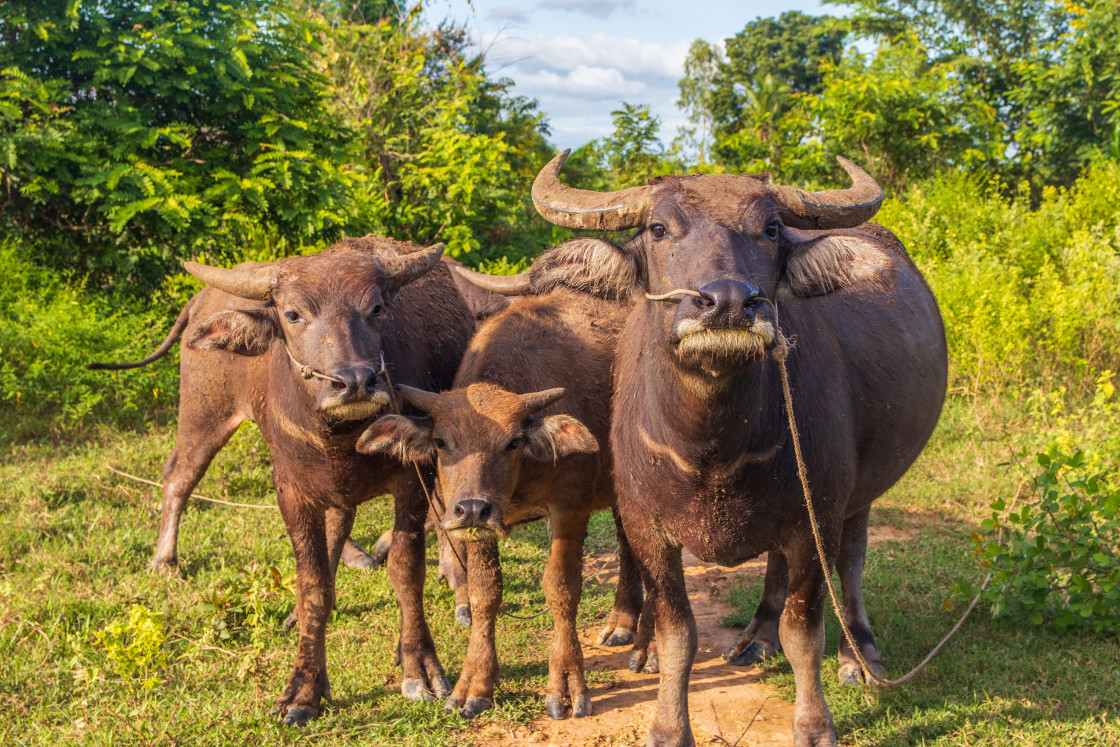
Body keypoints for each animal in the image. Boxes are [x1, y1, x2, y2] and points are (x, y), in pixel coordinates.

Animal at [87, 238, 472, 725]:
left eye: (377, 308)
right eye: (292, 314)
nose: (354, 382)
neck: (340, 438)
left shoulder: (412, 478)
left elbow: (406, 570)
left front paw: (418, 668)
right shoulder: (292, 492)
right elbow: (311, 585)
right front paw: (304, 688)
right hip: (203, 409)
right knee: (179, 474)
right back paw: (164, 560)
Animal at [353, 259, 645, 721]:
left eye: (512, 442)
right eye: (442, 442)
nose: (473, 508)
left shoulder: (570, 508)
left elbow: (561, 588)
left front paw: (566, 684)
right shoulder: (475, 527)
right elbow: (484, 593)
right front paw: (475, 684)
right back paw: (623, 621)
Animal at [512, 153, 949, 747]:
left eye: (771, 229)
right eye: (658, 228)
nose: (726, 304)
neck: (713, 449)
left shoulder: (816, 517)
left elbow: (804, 630)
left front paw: (814, 725)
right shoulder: (648, 527)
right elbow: (678, 633)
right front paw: (669, 726)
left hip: (857, 493)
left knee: (852, 559)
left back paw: (860, 655)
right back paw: (752, 637)